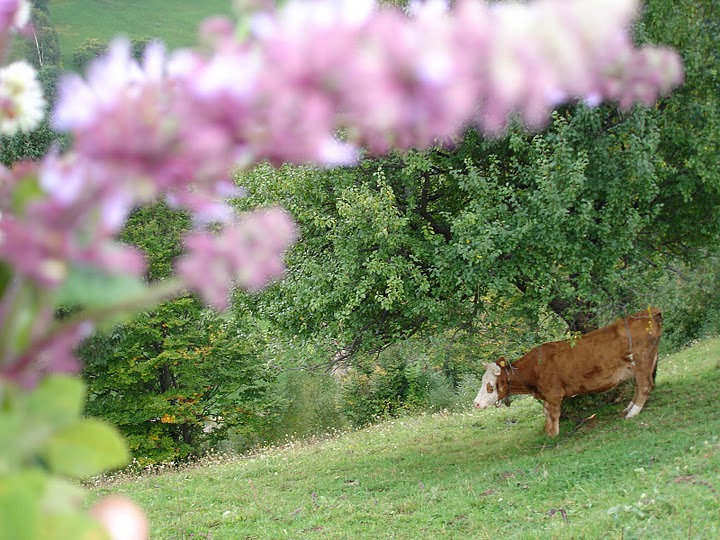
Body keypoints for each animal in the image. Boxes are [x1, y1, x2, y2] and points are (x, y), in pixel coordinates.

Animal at [472, 308, 664, 434]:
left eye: (490, 386)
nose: (476, 403)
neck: (534, 368)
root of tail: (648, 312)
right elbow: (546, 412)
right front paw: (547, 431)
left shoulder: (553, 393)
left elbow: (553, 413)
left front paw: (553, 434)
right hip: (637, 368)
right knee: (638, 386)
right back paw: (628, 408)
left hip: (642, 363)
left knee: (645, 386)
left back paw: (632, 413)